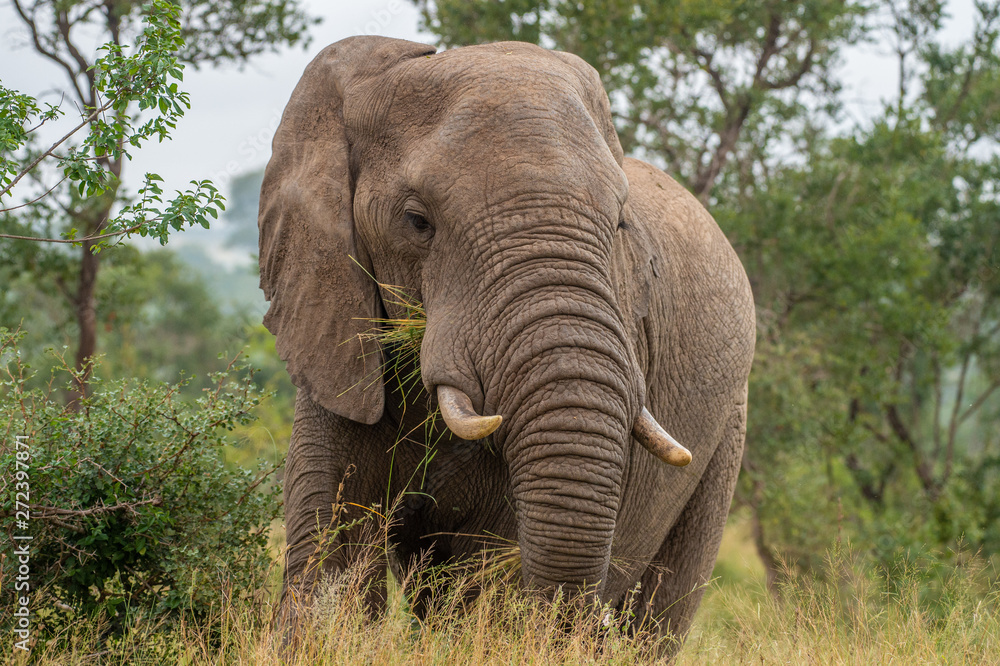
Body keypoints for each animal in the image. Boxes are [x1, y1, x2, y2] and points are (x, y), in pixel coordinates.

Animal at [258, 35, 755, 646]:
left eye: (620, 224)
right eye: (417, 221)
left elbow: (486, 573)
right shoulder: (335, 328)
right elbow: (336, 541)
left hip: (727, 427)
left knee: (661, 611)